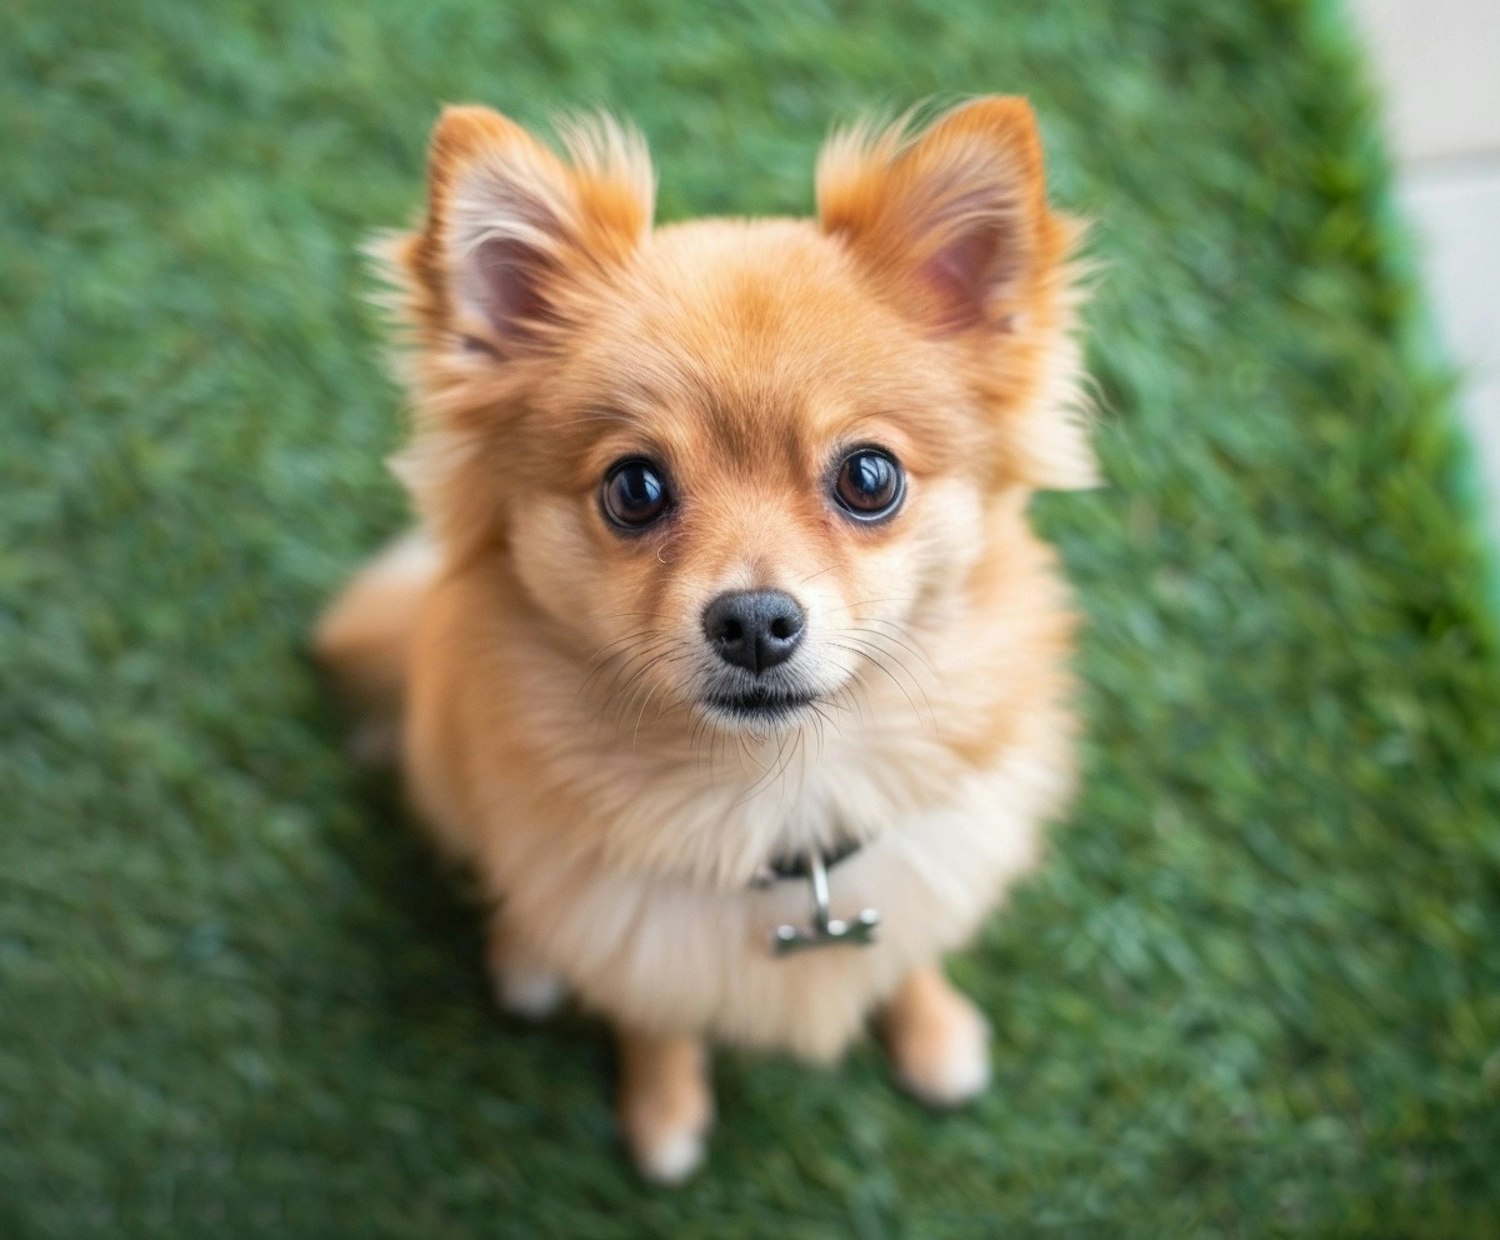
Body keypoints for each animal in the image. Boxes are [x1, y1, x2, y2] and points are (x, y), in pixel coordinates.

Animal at [319, 96, 1092, 1181]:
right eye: (635, 487)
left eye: (869, 477)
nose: (755, 619)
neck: (777, 810)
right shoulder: (629, 941)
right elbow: (654, 1014)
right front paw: (663, 1113)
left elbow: (909, 952)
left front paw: (934, 1032)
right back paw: (526, 957)